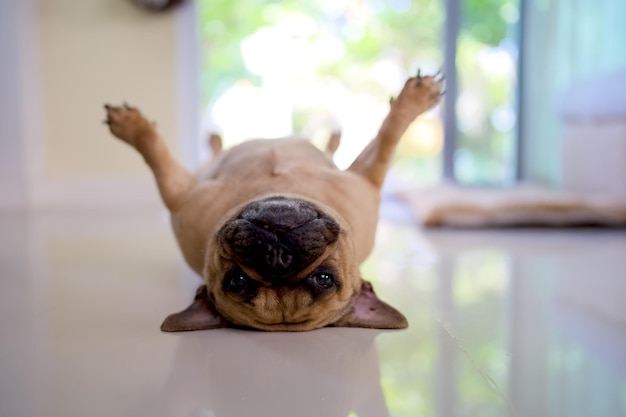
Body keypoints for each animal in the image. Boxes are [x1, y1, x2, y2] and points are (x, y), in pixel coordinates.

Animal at [103, 72, 438, 332]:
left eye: (324, 278)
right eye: (237, 281)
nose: (279, 258)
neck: (277, 187)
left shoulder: (366, 180)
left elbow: (387, 140)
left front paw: (413, 102)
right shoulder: (182, 194)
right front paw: (133, 126)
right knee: (216, 151)